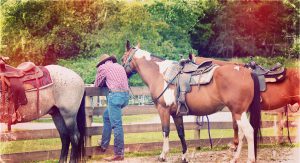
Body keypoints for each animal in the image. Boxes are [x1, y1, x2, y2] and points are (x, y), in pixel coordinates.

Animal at [122, 40, 262, 163]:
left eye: (123, 58)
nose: (122, 72)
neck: (160, 75)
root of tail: (248, 72)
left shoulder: (163, 110)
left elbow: (165, 131)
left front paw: (163, 155)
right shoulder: (176, 114)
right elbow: (181, 134)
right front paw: (184, 157)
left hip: (238, 112)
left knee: (249, 132)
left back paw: (250, 159)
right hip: (240, 113)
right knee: (243, 134)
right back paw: (235, 158)